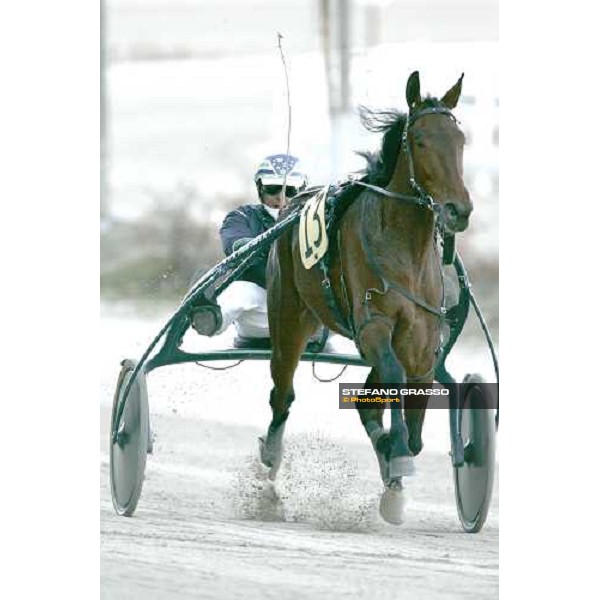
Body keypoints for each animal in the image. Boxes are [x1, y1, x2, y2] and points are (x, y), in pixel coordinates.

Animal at [262, 69, 474, 520]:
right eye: (419, 140)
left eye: (460, 139)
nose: (458, 210)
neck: (403, 246)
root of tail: (292, 205)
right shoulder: (374, 324)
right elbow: (392, 380)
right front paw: (396, 456)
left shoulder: (422, 339)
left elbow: (410, 399)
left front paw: (396, 465)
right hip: (288, 320)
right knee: (282, 394)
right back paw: (269, 468)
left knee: (365, 399)